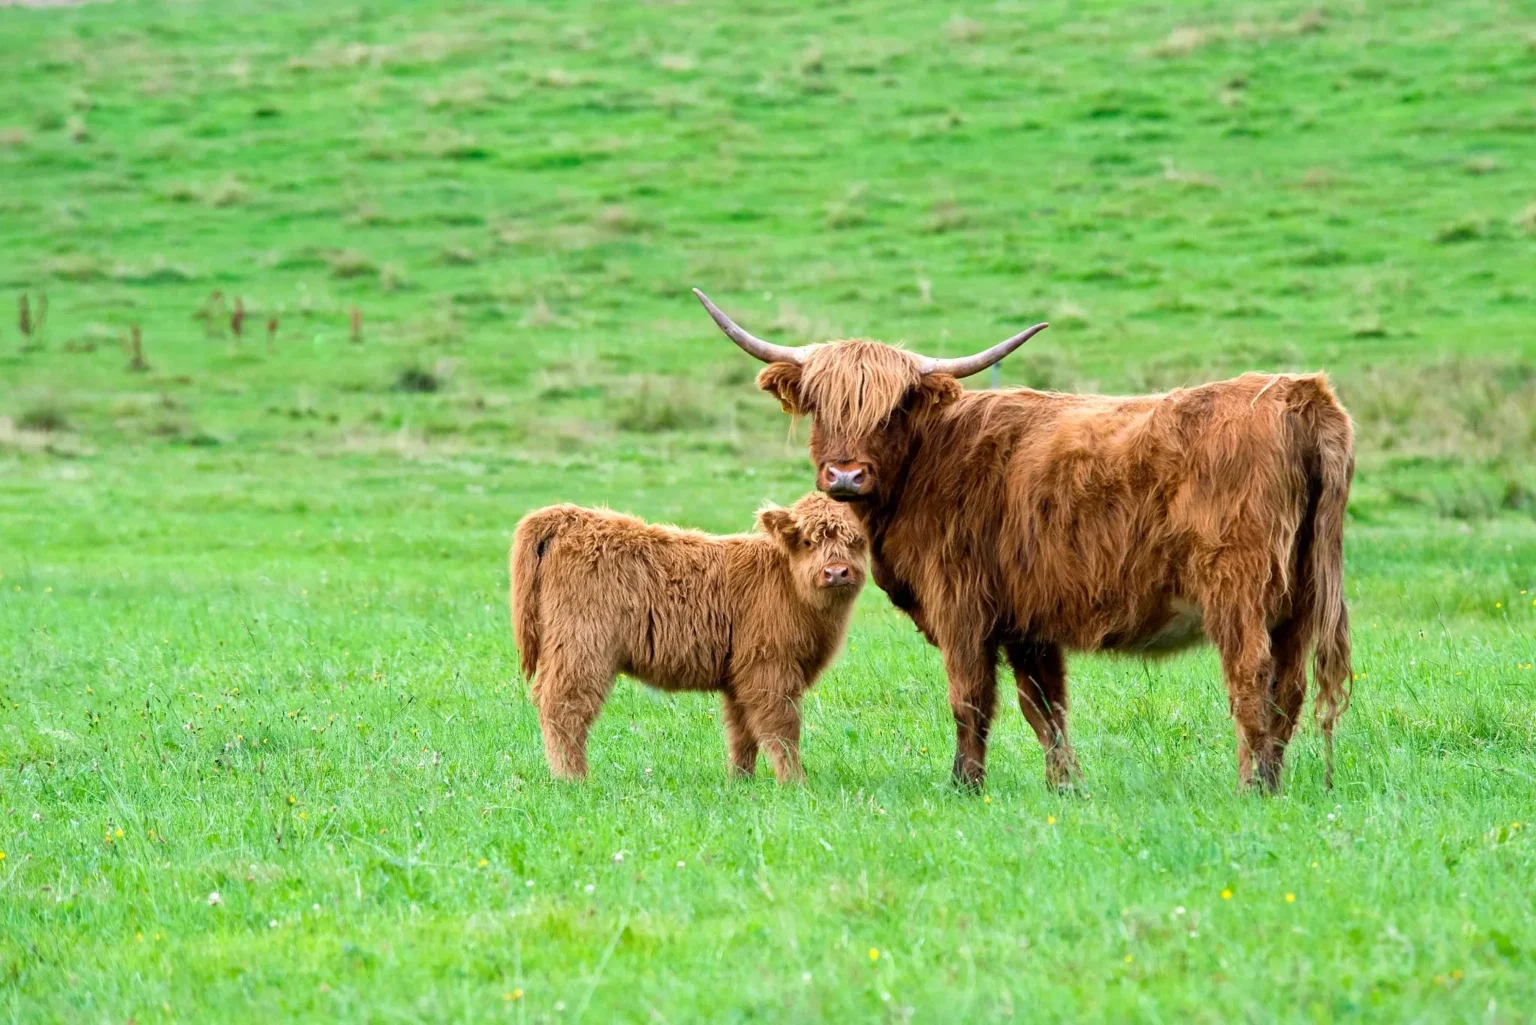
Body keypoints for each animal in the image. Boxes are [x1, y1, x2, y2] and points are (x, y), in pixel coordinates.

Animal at [510, 493, 867, 782]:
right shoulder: (769, 669)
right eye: (808, 542)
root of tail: (572, 516)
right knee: (564, 708)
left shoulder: (739, 678)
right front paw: (794, 782)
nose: (836, 572)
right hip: (582, 648)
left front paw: (741, 782)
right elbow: (781, 728)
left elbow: (742, 732)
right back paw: (573, 779)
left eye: (858, 541)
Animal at [693, 288, 1354, 793]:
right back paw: (1272, 781)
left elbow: (970, 699)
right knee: (1289, 687)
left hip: (1239, 589)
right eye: (818, 403)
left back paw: (1251, 788)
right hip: (1302, 596)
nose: (845, 477)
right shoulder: (1029, 621)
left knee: (1252, 680)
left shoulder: (962, 607)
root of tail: (1299, 394)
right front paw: (1067, 788)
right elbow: (1046, 708)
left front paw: (964, 786)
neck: (930, 461)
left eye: (893, 408)